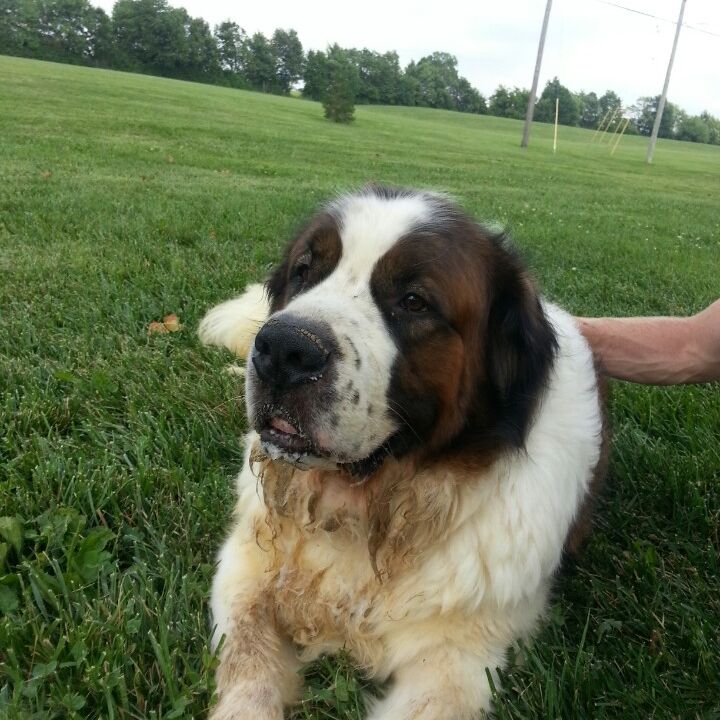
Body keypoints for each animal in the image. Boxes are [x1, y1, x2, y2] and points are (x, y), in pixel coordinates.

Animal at [197, 187, 608, 720]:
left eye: (413, 302)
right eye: (304, 271)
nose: (283, 350)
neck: (369, 505)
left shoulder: (459, 658)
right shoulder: (246, 567)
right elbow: (247, 661)